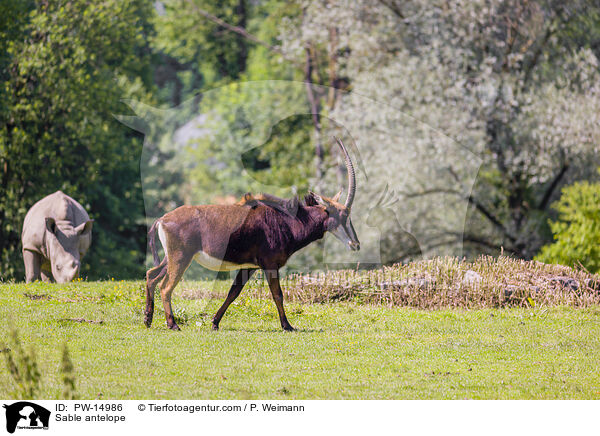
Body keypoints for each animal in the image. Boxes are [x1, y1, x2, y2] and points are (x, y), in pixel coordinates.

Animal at [145, 138, 360, 328]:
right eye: (343, 215)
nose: (356, 244)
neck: (289, 220)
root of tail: (162, 219)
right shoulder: (270, 265)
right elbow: (277, 294)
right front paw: (287, 326)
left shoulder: (249, 267)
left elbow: (233, 292)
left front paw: (215, 323)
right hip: (181, 258)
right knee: (165, 287)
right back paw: (172, 324)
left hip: (171, 258)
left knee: (151, 275)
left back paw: (148, 319)